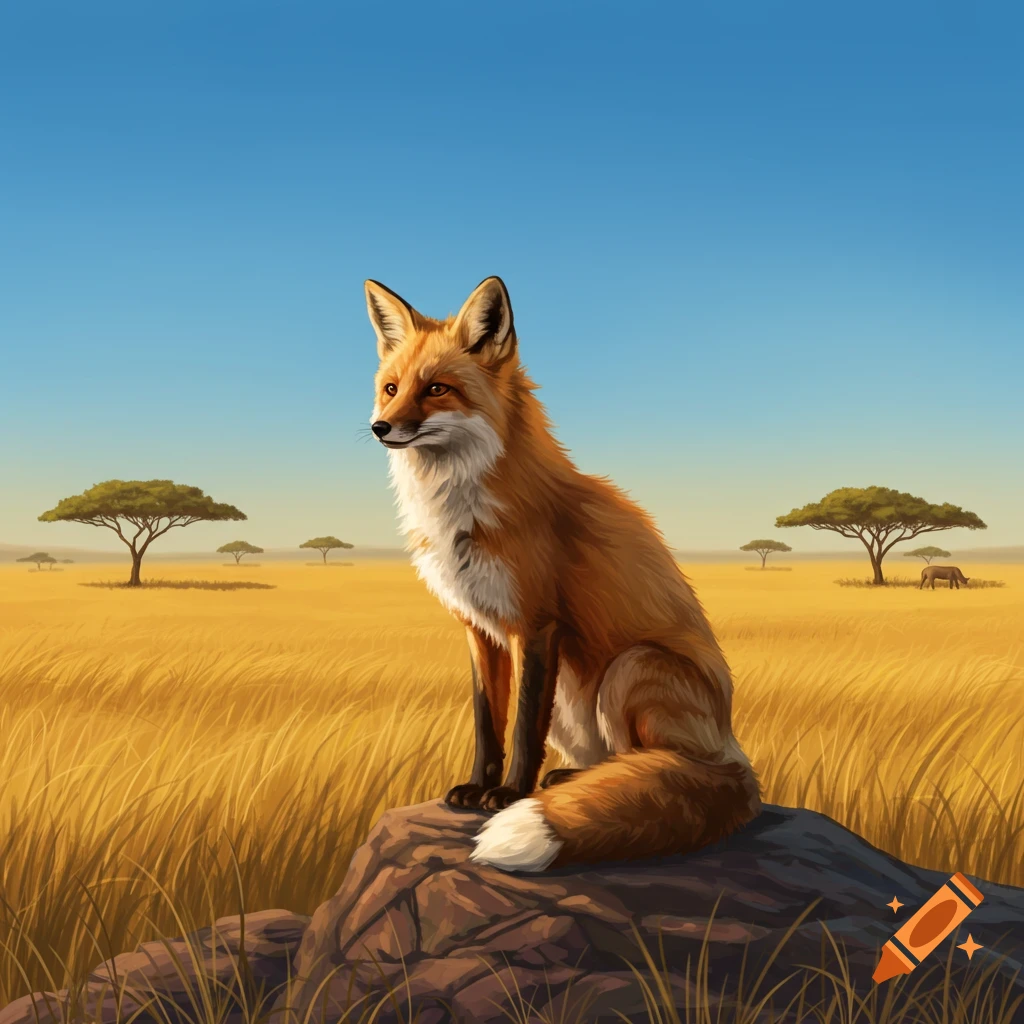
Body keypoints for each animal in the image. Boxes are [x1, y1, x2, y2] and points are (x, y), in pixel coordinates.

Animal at [365, 275, 761, 872]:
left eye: (436, 389)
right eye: (391, 388)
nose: (380, 427)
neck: (462, 512)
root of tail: (735, 757)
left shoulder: (536, 624)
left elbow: (524, 724)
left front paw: (509, 795)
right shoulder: (479, 629)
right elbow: (488, 722)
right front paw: (476, 787)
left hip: (629, 668)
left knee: (652, 766)